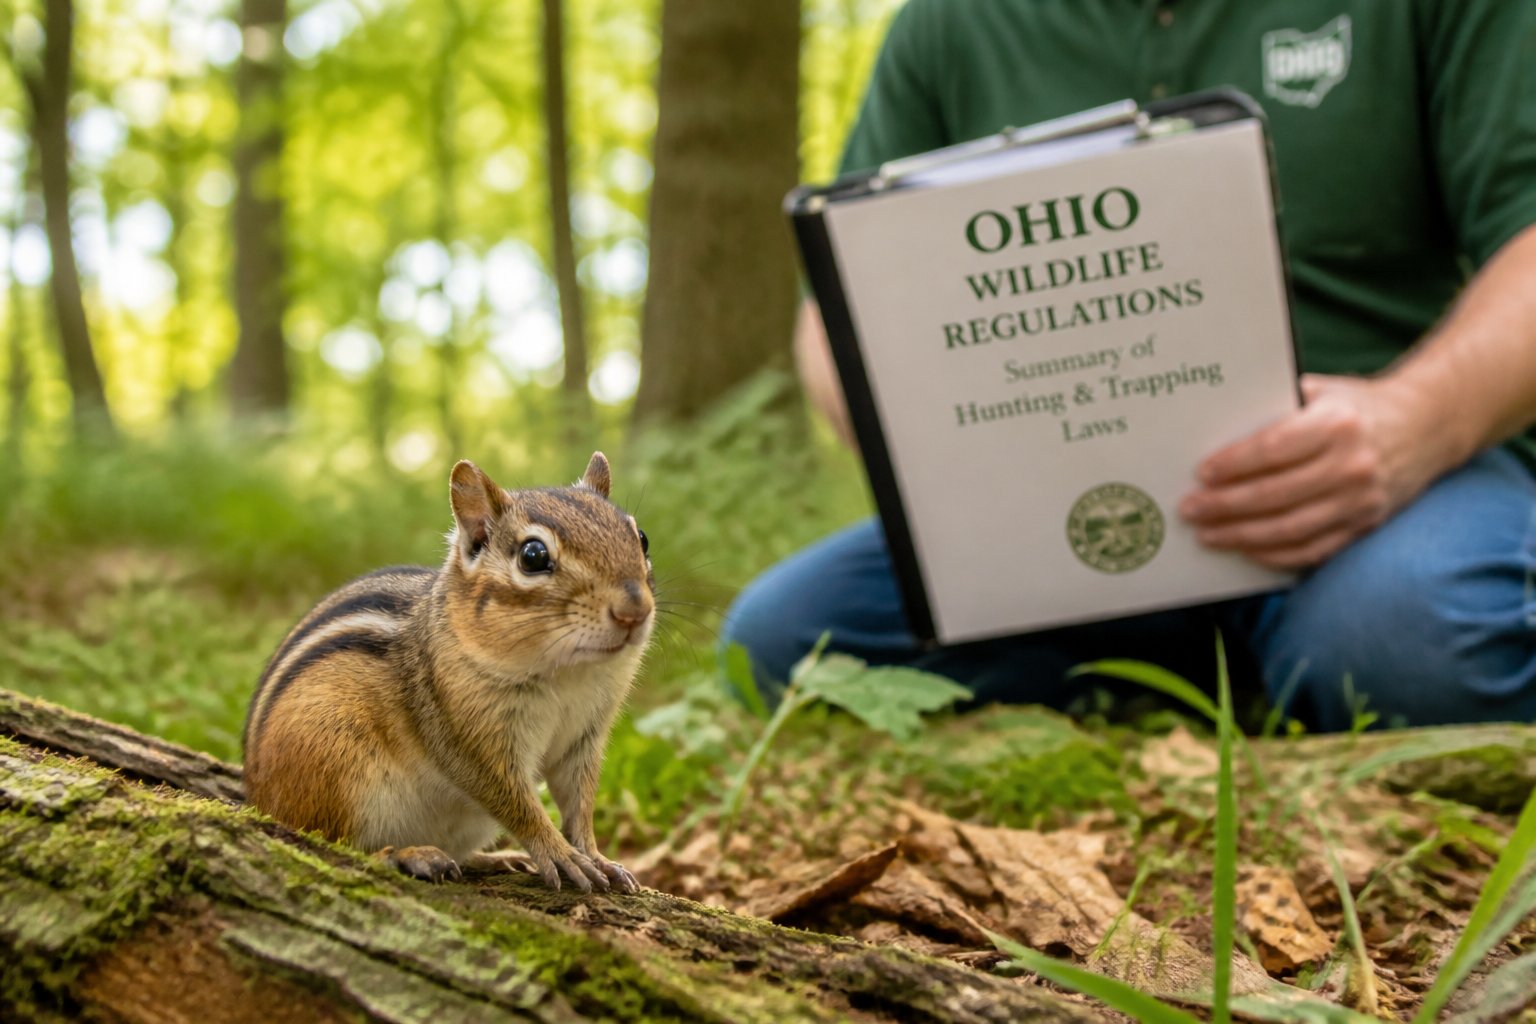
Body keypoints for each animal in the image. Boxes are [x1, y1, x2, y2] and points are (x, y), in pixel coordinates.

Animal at [242, 452, 653, 892]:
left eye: (642, 538)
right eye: (533, 556)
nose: (635, 610)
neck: (569, 674)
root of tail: (258, 800)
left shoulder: (584, 736)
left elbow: (579, 806)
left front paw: (596, 856)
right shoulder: (467, 737)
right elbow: (517, 803)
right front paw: (559, 853)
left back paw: (496, 859)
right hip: (334, 766)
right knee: (331, 840)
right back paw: (408, 855)